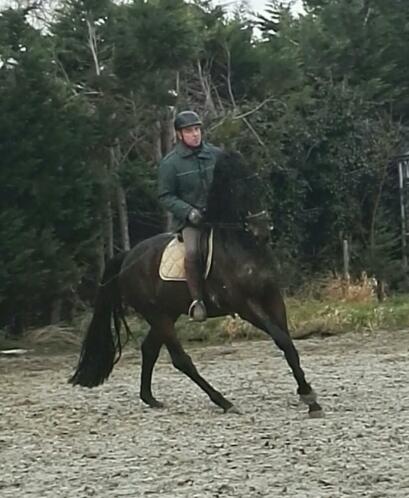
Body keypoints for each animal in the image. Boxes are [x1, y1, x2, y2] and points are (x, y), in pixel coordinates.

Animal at [71, 152, 326, 416]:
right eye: (236, 190)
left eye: (258, 184)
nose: (262, 229)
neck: (244, 246)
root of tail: (128, 257)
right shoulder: (245, 305)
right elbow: (281, 339)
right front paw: (308, 396)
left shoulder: (272, 296)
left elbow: (288, 343)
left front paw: (310, 398)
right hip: (156, 315)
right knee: (180, 360)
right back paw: (223, 402)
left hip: (167, 313)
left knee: (149, 348)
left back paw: (150, 399)